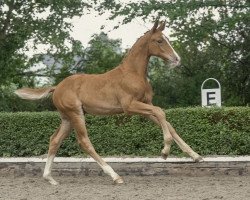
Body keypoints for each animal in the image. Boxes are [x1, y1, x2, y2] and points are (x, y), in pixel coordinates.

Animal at [15, 19, 203, 184]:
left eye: (167, 39)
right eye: (159, 40)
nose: (177, 59)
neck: (133, 73)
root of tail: (56, 88)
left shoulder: (145, 105)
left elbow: (166, 121)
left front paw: (195, 155)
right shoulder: (129, 106)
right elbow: (160, 112)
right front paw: (164, 151)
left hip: (67, 118)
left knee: (54, 140)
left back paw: (50, 178)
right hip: (76, 114)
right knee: (84, 142)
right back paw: (115, 176)